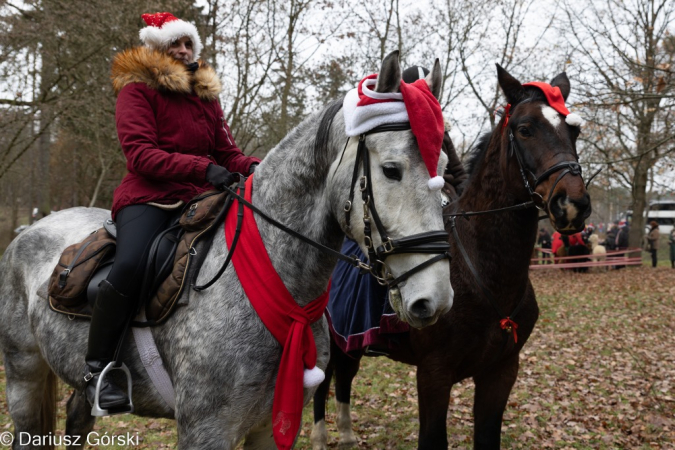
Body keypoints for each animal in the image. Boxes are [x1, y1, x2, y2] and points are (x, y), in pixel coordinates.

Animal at [1, 51, 454, 448]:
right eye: (391, 170)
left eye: (444, 171)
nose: (435, 299)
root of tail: (28, 231)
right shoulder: (206, 430)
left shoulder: (269, 428)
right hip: (24, 376)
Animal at [312, 65, 592, 448]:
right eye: (525, 129)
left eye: (573, 131)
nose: (572, 204)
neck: (485, 271)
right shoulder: (434, 373)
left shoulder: (501, 372)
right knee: (323, 382)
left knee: (345, 375)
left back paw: (347, 434)